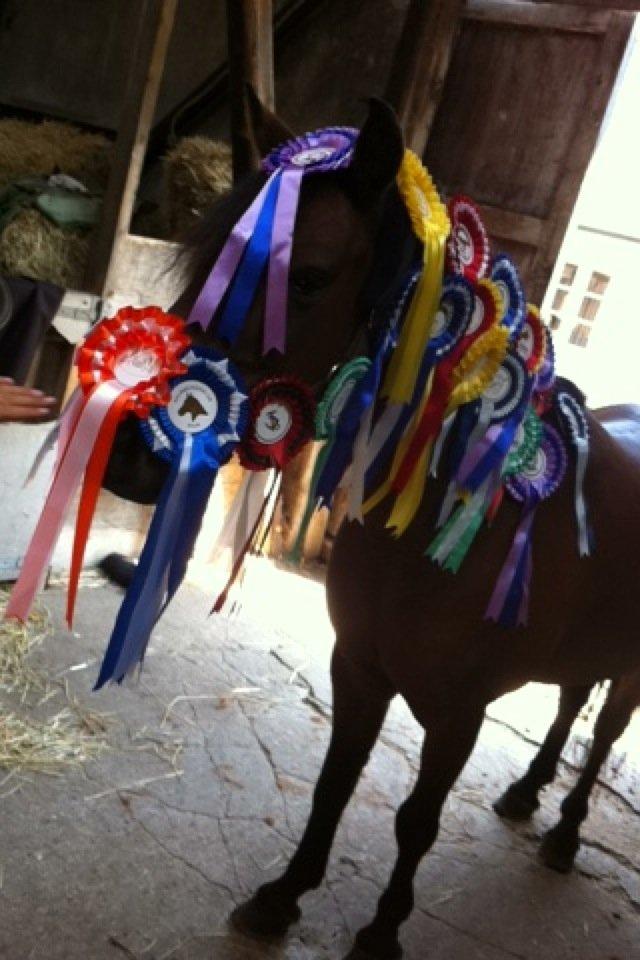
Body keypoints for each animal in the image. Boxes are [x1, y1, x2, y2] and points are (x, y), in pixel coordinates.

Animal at [102, 96, 640, 960]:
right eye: (209, 260)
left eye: (309, 277)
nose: (130, 455)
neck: (435, 519)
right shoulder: (358, 668)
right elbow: (334, 784)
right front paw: (282, 897)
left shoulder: (459, 713)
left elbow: (415, 822)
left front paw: (381, 933)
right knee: (568, 708)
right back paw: (526, 796)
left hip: (631, 666)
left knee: (604, 731)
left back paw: (564, 834)